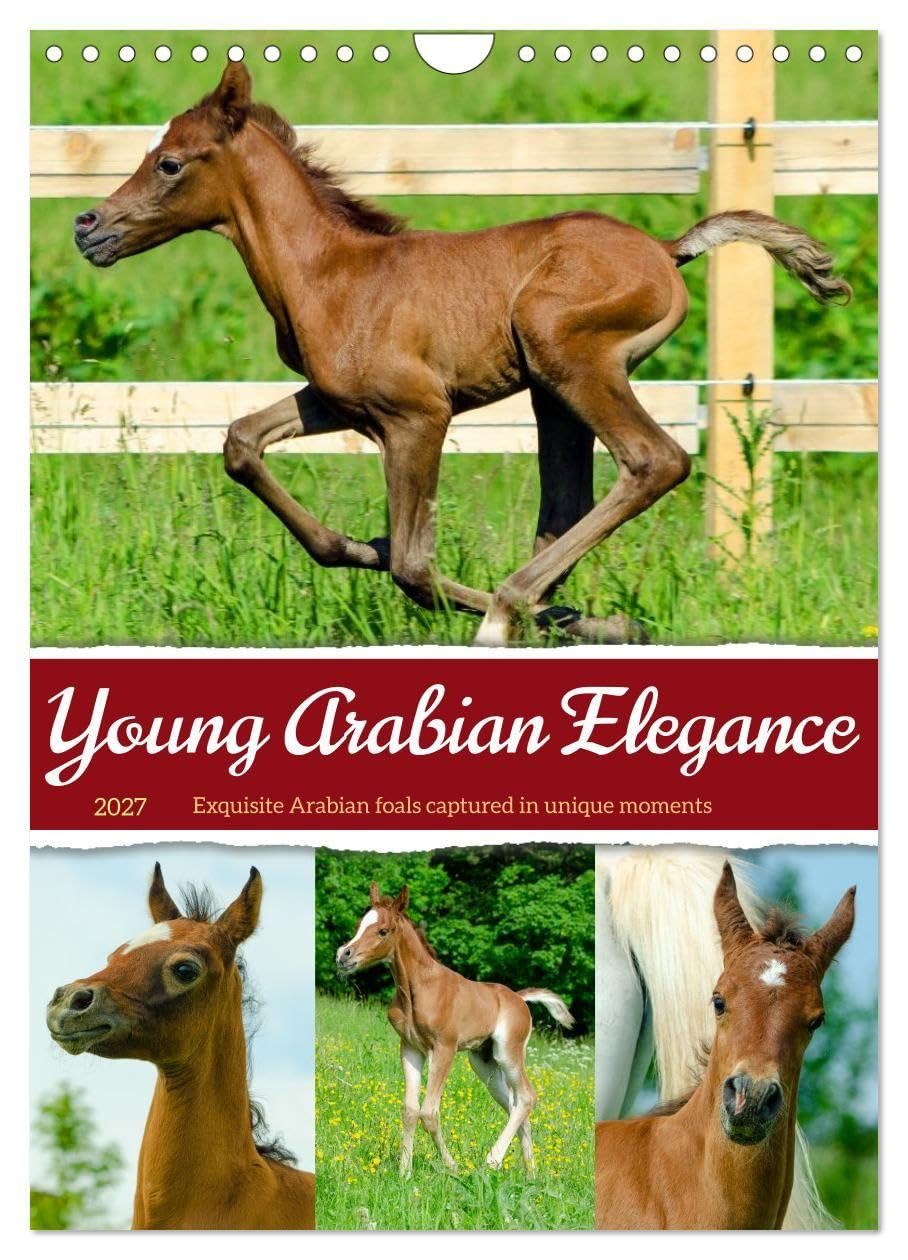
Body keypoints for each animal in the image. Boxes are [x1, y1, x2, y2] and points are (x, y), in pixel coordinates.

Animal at [72, 61, 852, 646]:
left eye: (169, 163)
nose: (89, 227)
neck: (331, 274)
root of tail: (667, 249)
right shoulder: (337, 401)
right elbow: (242, 445)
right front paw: (358, 545)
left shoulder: (417, 414)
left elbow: (414, 566)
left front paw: (472, 596)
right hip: (550, 391)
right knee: (567, 504)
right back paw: (568, 614)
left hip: (568, 358)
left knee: (652, 461)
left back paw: (514, 610)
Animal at [335, 883, 574, 1175]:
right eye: (359, 925)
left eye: (383, 930)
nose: (343, 955)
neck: (417, 989)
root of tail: (519, 998)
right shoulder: (411, 1048)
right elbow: (410, 1110)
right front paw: (404, 1173)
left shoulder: (444, 1048)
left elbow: (429, 1112)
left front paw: (452, 1166)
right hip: (484, 1062)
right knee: (515, 1104)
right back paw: (531, 1174)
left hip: (508, 1053)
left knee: (527, 1097)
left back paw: (493, 1160)